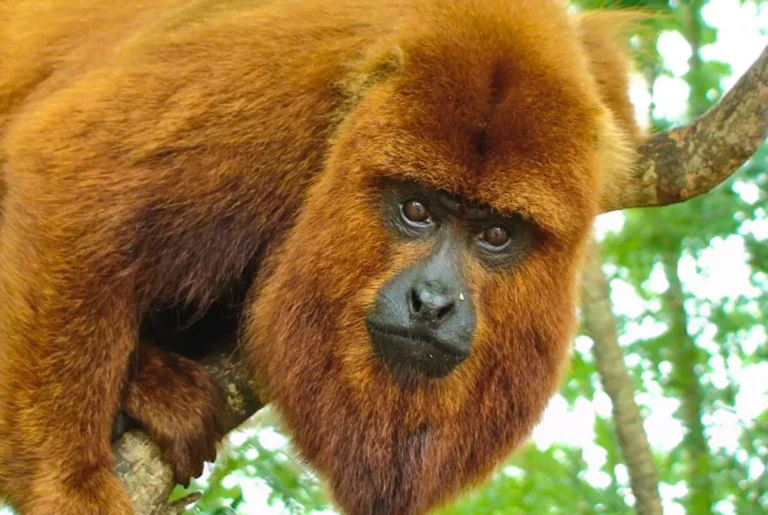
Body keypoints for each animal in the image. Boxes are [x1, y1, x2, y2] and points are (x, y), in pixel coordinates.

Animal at [0, 0, 642, 513]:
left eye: (497, 235)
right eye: (416, 209)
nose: (432, 302)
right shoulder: (280, 83)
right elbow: (64, 175)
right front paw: (70, 486)